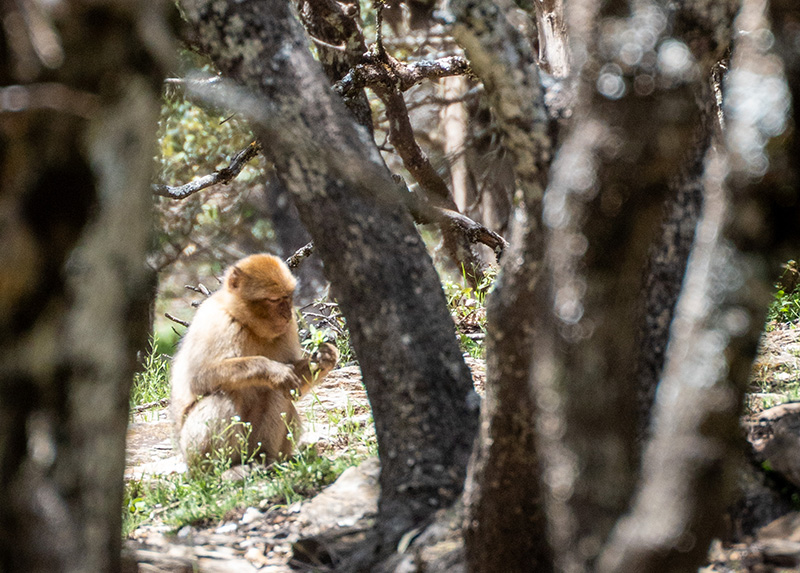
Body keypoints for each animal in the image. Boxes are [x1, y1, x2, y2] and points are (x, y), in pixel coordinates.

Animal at [169, 253, 338, 474]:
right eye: (274, 300)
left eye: (287, 296)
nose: (287, 313)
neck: (247, 324)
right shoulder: (216, 321)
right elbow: (198, 378)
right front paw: (270, 369)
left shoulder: (288, 328)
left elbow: (294, 389)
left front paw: (324, 358)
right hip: (193, 453)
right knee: (222, 396)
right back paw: (225, 469)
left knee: (277, 392)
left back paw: (263, 458)